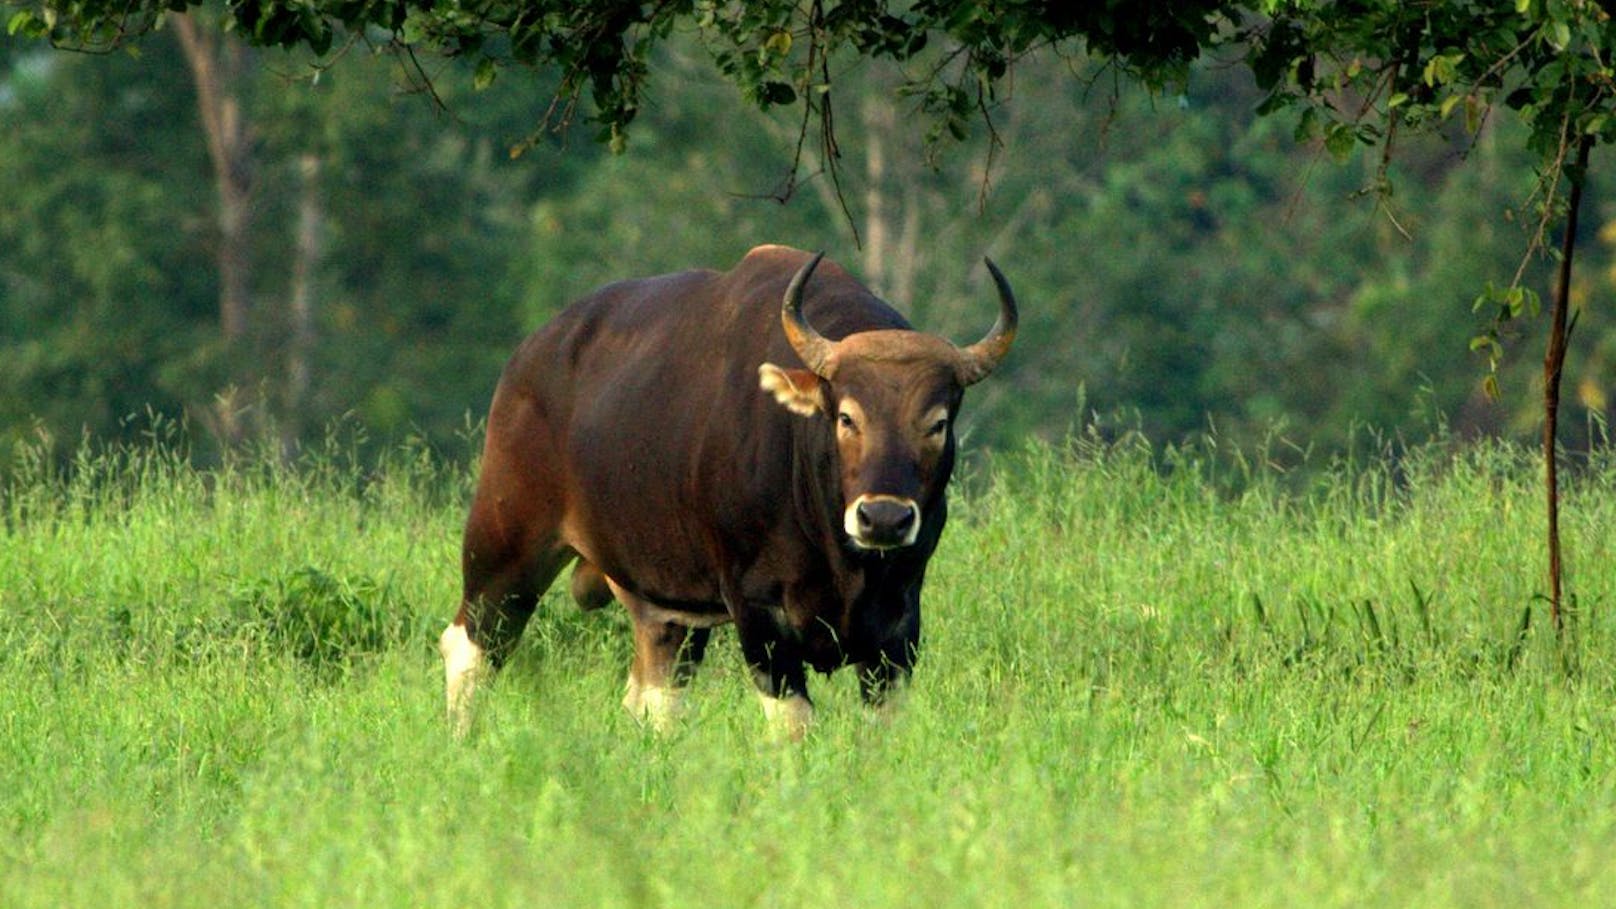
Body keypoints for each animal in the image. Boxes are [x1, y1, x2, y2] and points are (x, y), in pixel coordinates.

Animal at [436, 242, 1014, 737]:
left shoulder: (897, 624)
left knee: (655, 692)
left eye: (936, 423)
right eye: (847, 417)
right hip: (504, 542)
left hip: (663, 602)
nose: (885, 519)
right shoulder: (759, 613)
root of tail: (531, 355)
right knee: (472, 647)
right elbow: (794, 726)